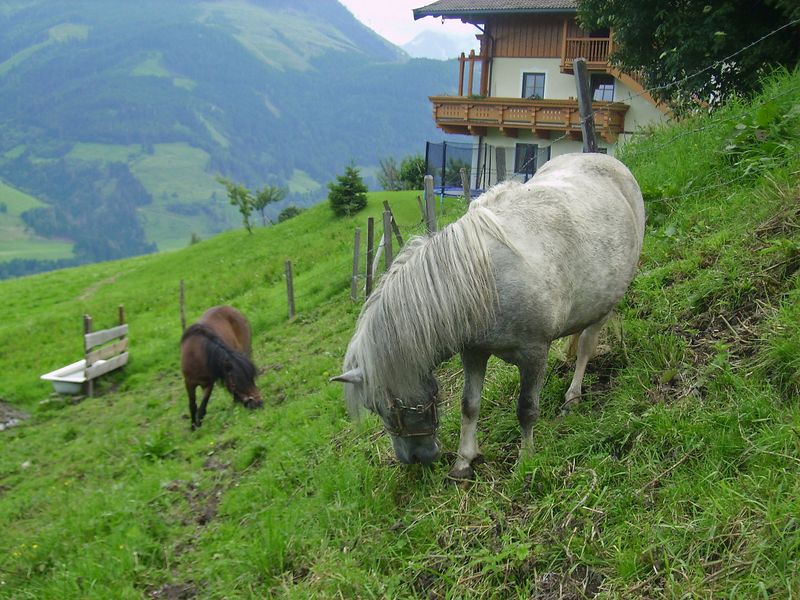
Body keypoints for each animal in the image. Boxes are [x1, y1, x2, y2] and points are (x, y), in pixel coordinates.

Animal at [332, 152, 644, 480]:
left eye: (389, 408)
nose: (412, 459)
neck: (480, 282)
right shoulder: (474, 353)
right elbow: (469, 405)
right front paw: (464, 460)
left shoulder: (535, 352)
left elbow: (526, 409)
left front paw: (525, 460)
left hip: (605, 305)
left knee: (585, 347)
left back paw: (573, 396)